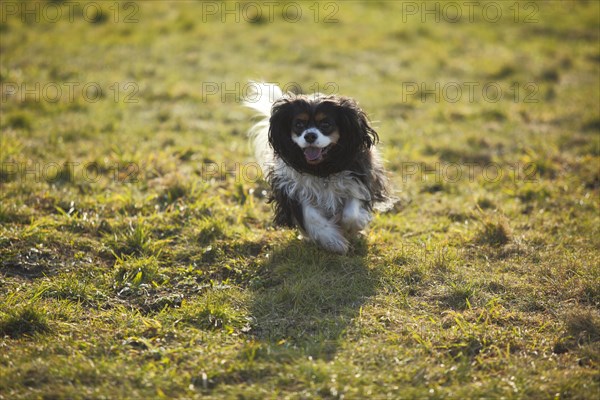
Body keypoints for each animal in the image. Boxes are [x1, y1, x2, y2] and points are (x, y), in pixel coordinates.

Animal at [244, 83, 394, 255]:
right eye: (299, 124)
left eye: (325, 124)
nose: (309, 135)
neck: (321, 168)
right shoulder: (292, 190)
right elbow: (310, 216)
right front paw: (332, 240)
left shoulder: (359, 180)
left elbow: (351, 213)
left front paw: (351, 228)